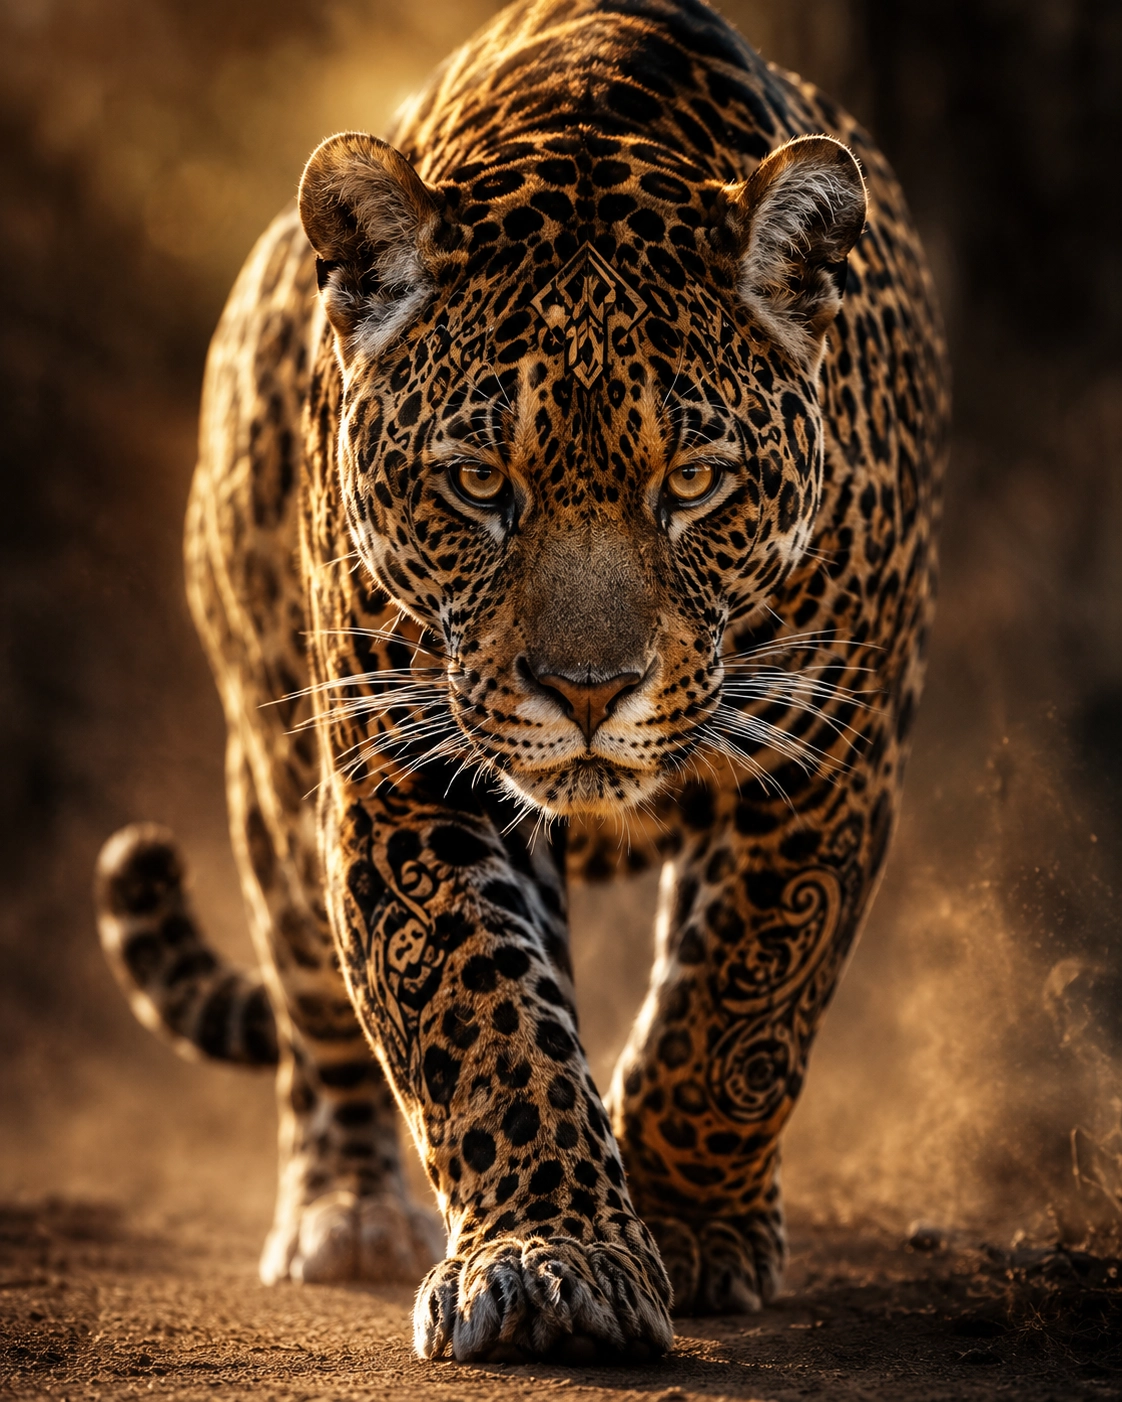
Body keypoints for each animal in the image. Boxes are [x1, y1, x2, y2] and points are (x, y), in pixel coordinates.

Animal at [94, 0, 948, 1366]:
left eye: (695, 482)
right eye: (479, 484)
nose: (589, 689)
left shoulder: (827, 751)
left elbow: (742, 1002)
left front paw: (685, 1223)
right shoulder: (402, 770)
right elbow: (479, 1012)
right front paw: (559, 1261)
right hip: (267, 765)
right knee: (312, 998)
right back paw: (346, 1211)